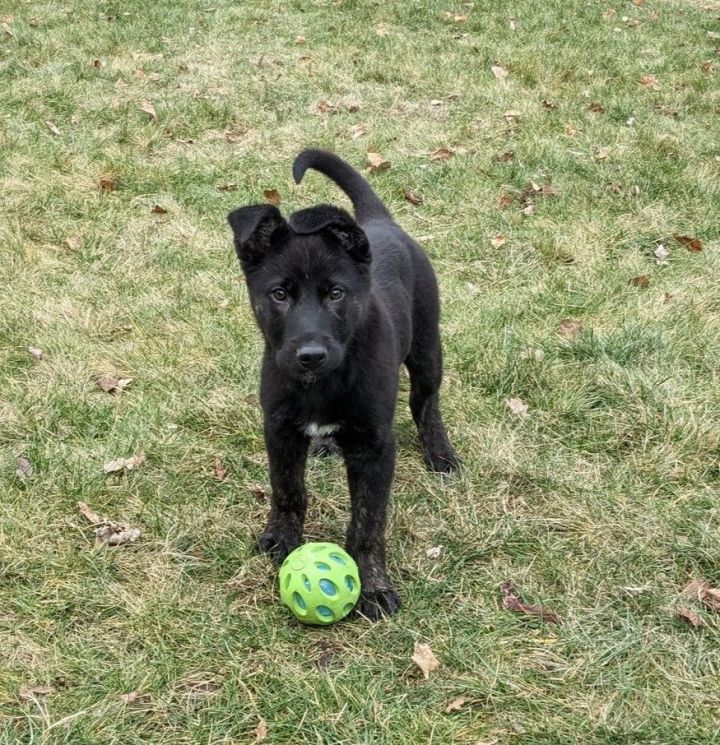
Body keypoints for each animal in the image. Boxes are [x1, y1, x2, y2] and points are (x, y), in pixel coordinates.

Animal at [228, 148, 458, 620]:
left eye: (336, 294)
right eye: (279, 294)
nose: (311, 354)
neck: (321, 383)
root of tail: (380, 221)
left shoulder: (375, 448)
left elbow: (368, 521)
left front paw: (372, 586)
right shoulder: (279, 430)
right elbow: (287, 490)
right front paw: (282, 539)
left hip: (427, 347)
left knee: (426, 402)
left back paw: (440, 451)